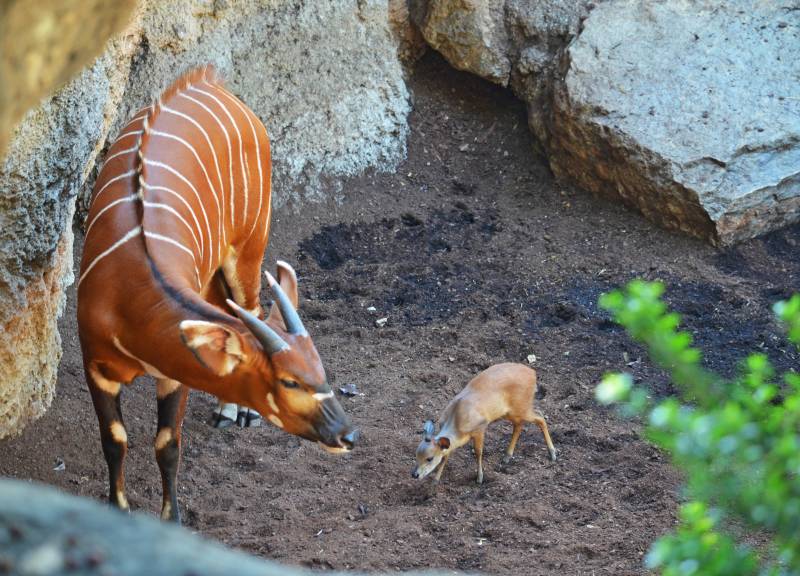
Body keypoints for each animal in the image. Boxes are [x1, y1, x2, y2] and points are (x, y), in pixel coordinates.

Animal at [77, 67, 356, 520]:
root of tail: (214, 83)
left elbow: (167, 444)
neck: (128, 296)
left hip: (248, 248)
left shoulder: (173, 375)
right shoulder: (97, 366)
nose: (347, 434)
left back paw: (236, 414)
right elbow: (115, 441)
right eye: (290, 381)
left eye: (322, 369)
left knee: (252, 307)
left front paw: (171, 520)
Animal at [412, 362, 556, 484]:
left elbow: (478, 451)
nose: (414, 474)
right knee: (520, 425)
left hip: (521, 407)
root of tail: (533, 373)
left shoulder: (480, 427)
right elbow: (446, 455)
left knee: (540, 417)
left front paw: (480, 478)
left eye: (429, 458)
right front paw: (435, 481)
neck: (457, 421)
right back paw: (507, 456)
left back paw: (552, 453)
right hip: (511, 412)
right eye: (416, 454)